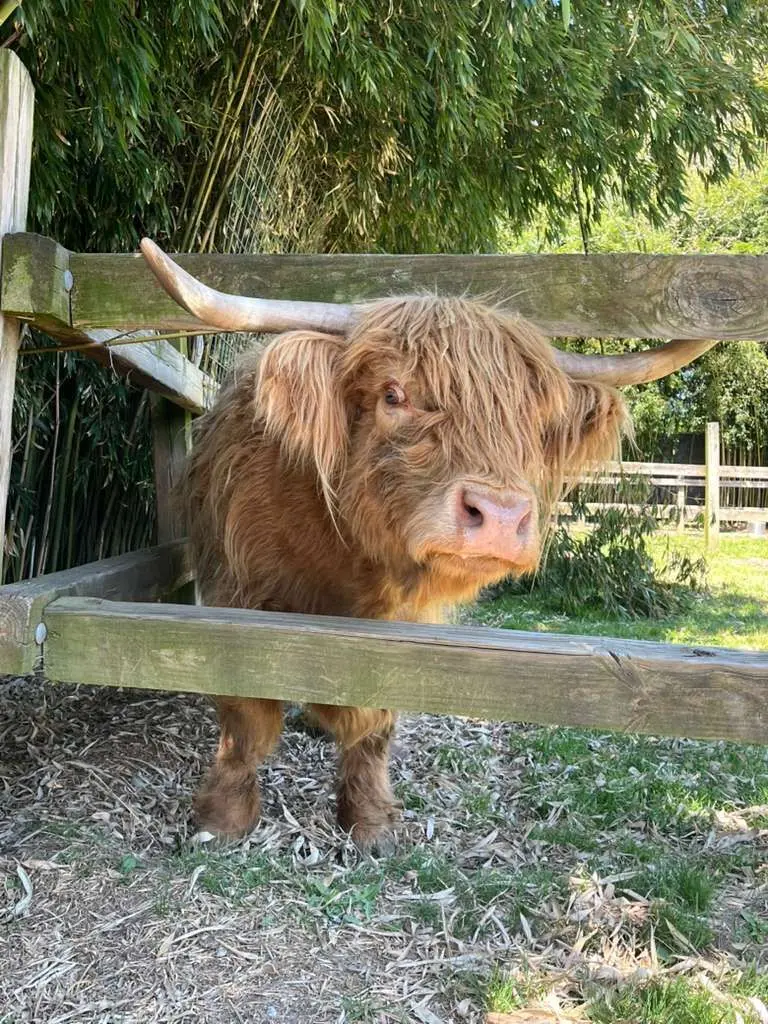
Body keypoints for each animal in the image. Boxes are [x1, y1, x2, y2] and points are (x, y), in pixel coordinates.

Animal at [141, 239, 716, 851]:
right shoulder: (235, 599)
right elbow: (245, 718)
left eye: (533, 420)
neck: (340, 565)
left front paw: (370, 820)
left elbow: (373, 720)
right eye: (394, 394)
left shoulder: (402, 627)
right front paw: (223, 818)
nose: (501, 516)